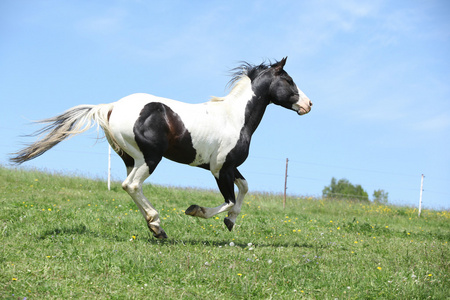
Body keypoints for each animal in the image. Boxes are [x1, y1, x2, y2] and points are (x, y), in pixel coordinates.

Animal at [11, 56, 312, 239]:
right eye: (288, 81)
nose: (308, 104)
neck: (234, 117)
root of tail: (112, 107)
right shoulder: (219, 169)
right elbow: (227, 200)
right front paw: (196, 211)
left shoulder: (229, 167)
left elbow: (245, 188)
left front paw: (231, 222)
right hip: (150, 158)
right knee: (131, 185)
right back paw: (157, 226)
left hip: (132, 159)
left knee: (131, 186)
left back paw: (156, 227)